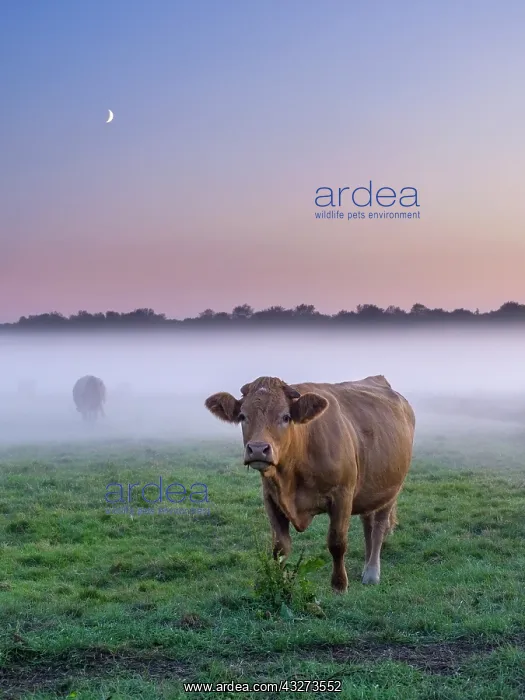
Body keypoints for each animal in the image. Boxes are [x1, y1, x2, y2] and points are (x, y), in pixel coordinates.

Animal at [205, 375, 415, 593]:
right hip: (370, 490)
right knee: (368, 524)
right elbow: (280, 547)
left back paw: (372, 572)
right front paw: (281, 583)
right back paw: (366, 568)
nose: (257, 449)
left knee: (379, 527)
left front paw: (339, 585)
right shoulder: (271, 498)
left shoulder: (342, 495)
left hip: (391, 490)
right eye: (242, 416)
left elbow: (337, 543)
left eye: (285, 417)